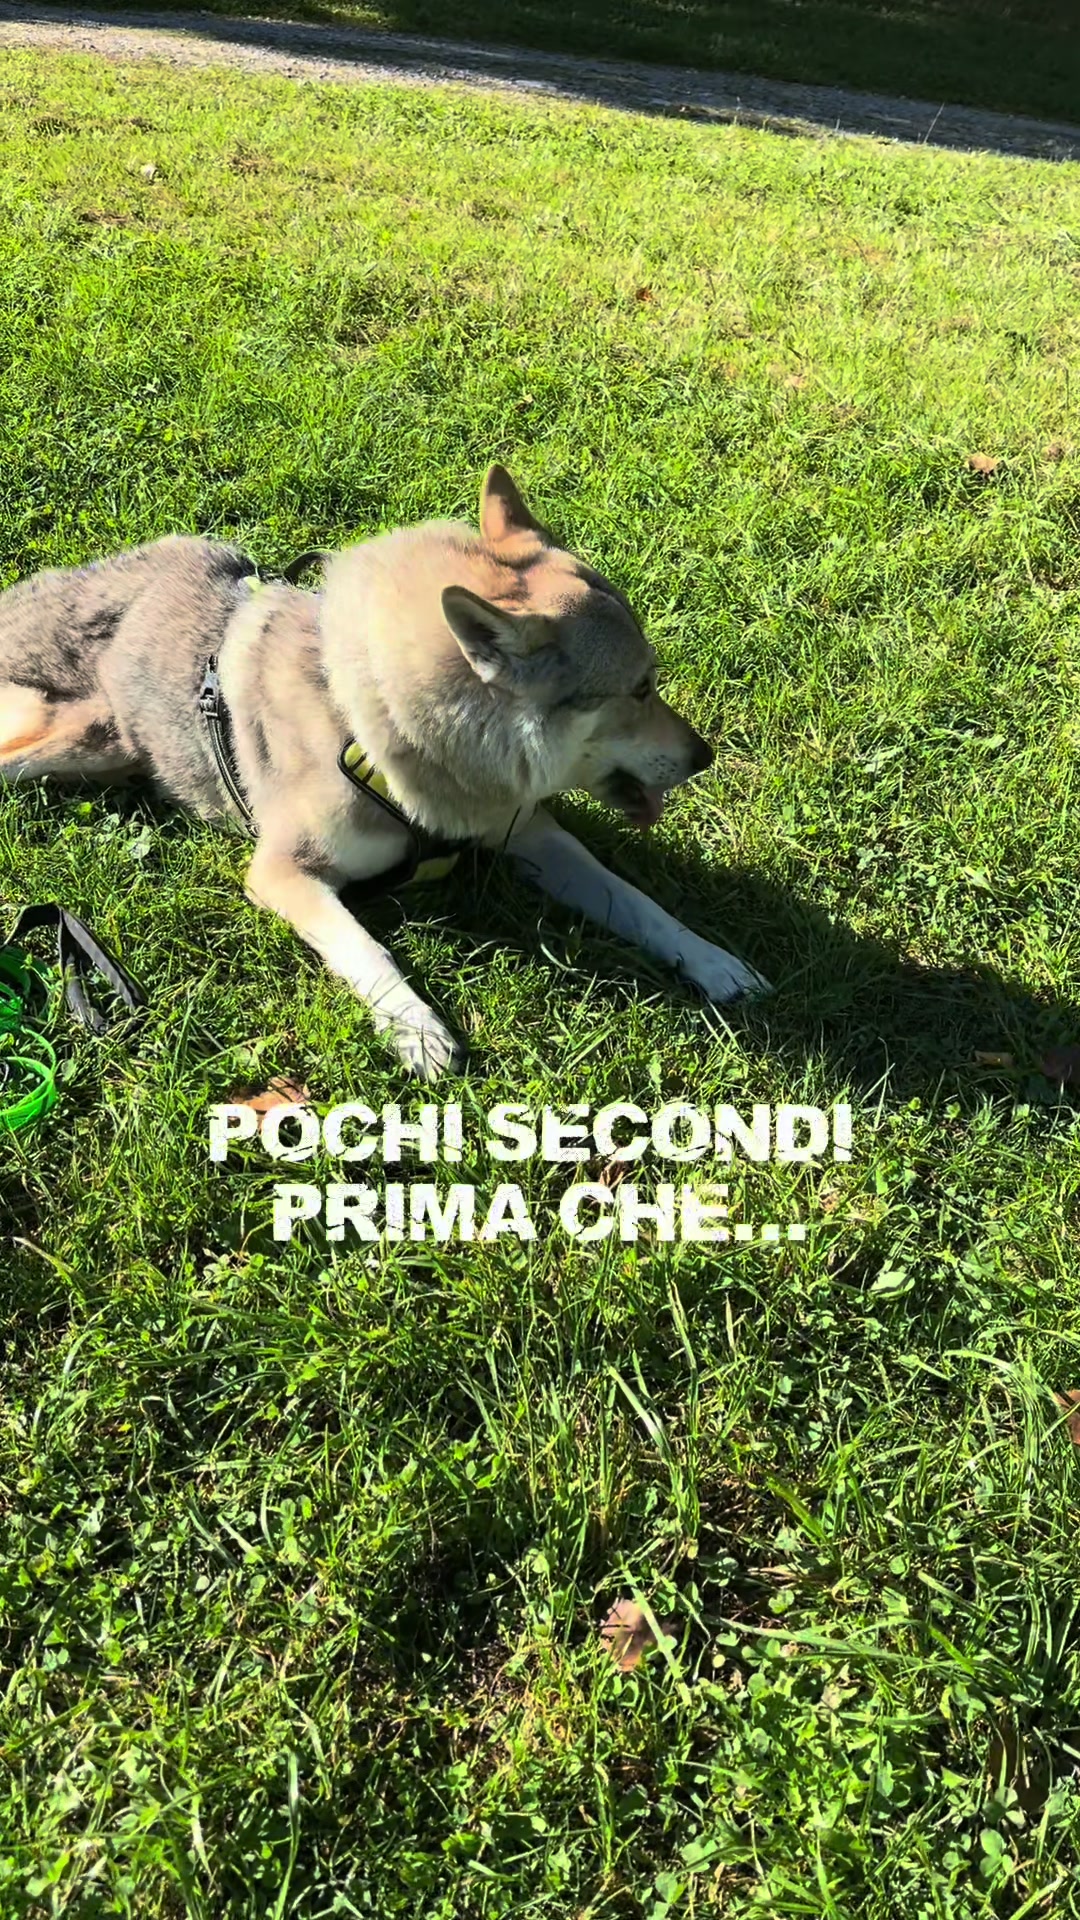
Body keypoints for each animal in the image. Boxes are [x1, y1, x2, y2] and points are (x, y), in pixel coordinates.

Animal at [0, 466, 767, 1077]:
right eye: (639, 688)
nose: (704, 757)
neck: (383, 737)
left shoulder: (531, 836)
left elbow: (636, 901)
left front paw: (712, 962)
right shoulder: (282, 872)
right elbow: (367, 948)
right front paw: (417, 1029)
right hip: (73, 745)